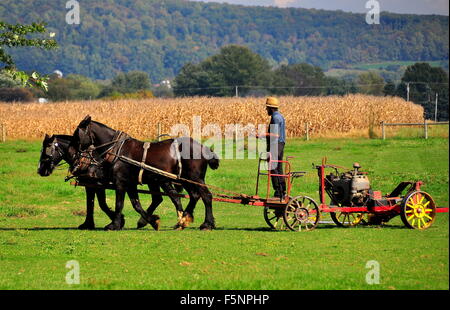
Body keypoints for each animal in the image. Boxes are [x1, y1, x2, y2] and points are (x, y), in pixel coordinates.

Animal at [69, 115, 221, 230]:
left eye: (77, 134)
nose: (72, 153)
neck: (118, 150)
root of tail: (203, 148)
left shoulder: (120, 183)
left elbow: (119, 203)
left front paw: (114, 224)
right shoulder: (130, 184)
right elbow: (136, 205)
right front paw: (152, 221)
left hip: (196, 178)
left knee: (206, 196)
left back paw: (207, 224)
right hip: (185, 179)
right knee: (195, 195)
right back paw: (183, 220)